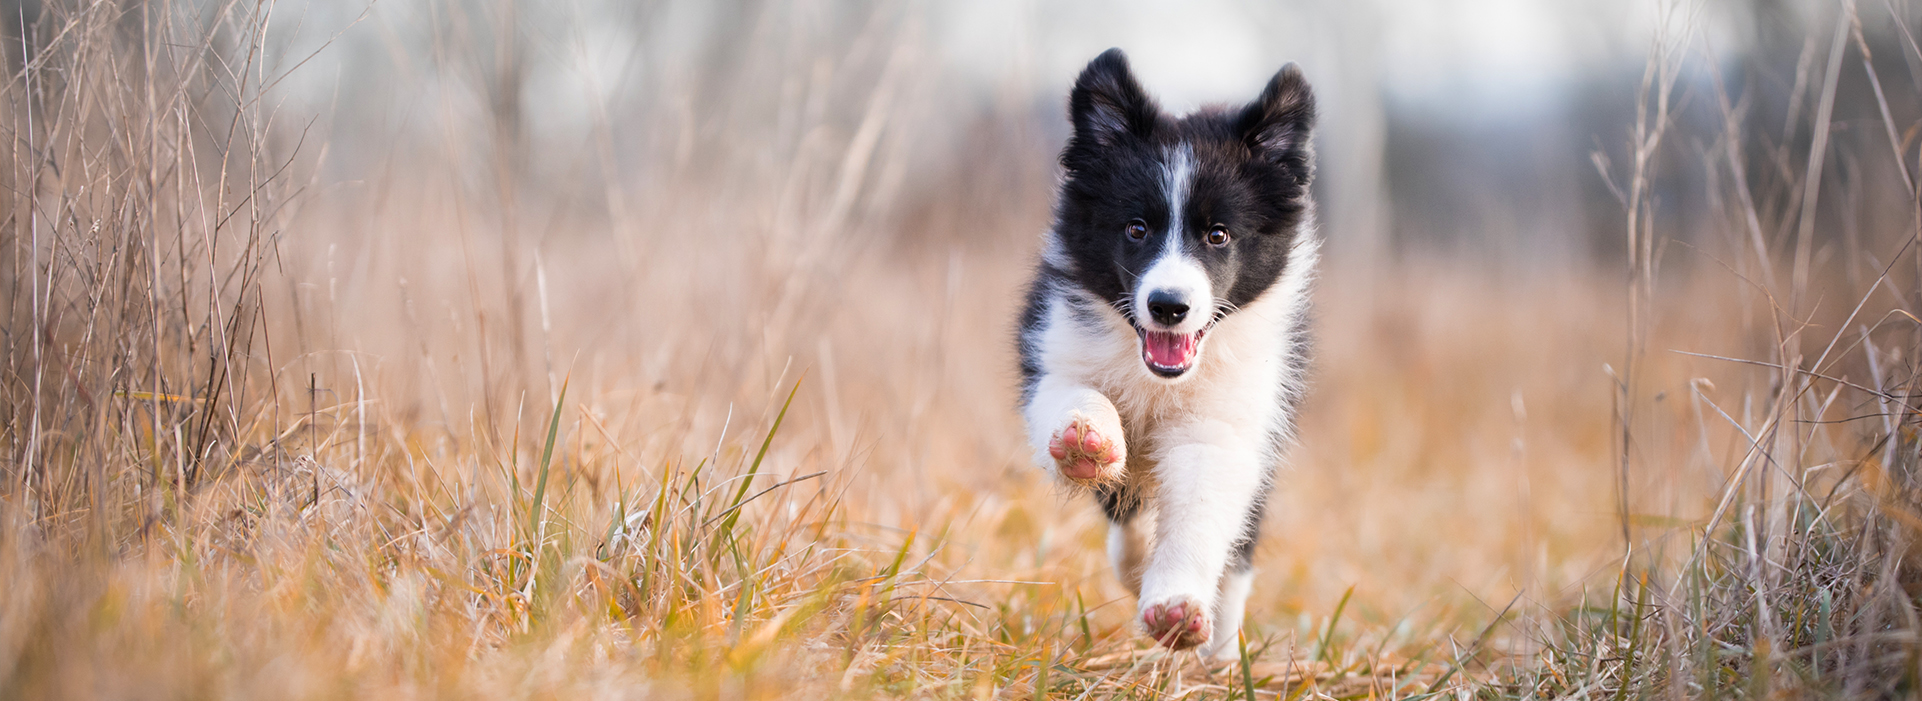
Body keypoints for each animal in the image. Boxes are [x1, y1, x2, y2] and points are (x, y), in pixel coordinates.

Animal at [1014, 47, 1314, 656]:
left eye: (1218, 234)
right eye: (1136, 228)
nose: (1169, 306)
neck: (1156, 376)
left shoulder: (1227, 421)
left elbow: (1201, 507)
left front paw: (1178, 606)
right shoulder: (1055, 346)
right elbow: (1071, 394)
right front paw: (1085, 437)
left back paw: (1220, 646)